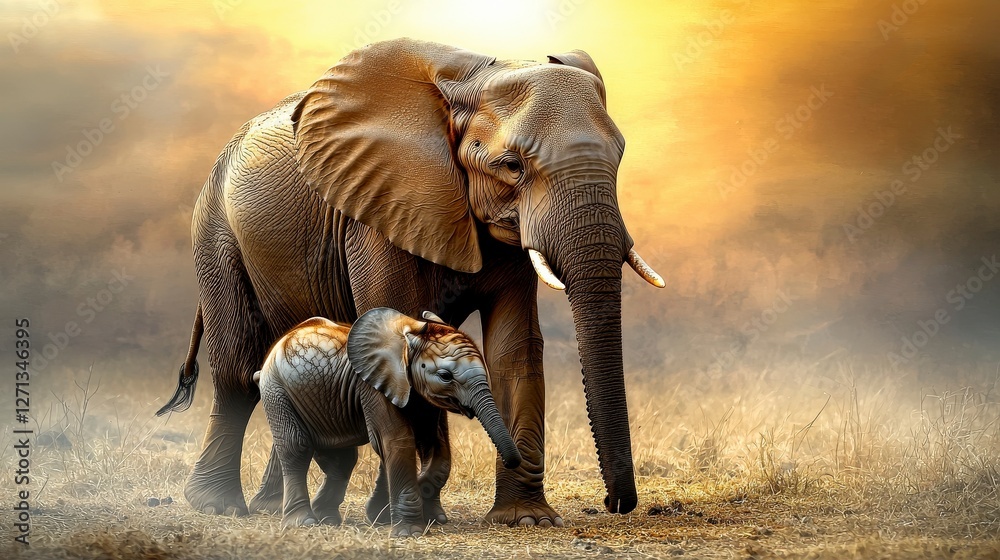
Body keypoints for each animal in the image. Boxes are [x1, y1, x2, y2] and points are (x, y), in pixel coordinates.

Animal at [252, 308, 521, 536]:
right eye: (445, 376)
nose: (513, 462)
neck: (407, 339)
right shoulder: (372, 387)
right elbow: (398, 441)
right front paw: (408, 531)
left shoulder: (419, 396)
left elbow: (435, 445)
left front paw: (387, 511)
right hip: (275, 388)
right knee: (296, 446)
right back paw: (304, 522)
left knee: (341, 459)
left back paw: (327, 518)